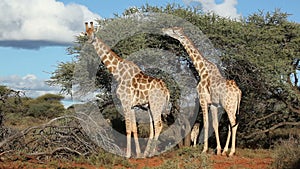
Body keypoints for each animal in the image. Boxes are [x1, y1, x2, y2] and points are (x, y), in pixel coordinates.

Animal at [162, 27, 241, 156]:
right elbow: (214, 124)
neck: (202, 71)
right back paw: (225, 151)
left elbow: (206, 123)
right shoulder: (213, 104)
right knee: (232, 124)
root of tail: (238, 92)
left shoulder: (203, 100)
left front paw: (205, 149)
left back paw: (231, 152)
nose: (163, 30)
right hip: (233, 106)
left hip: (228, 105)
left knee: (233, 124)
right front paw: (218, 150)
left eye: (173, 30)